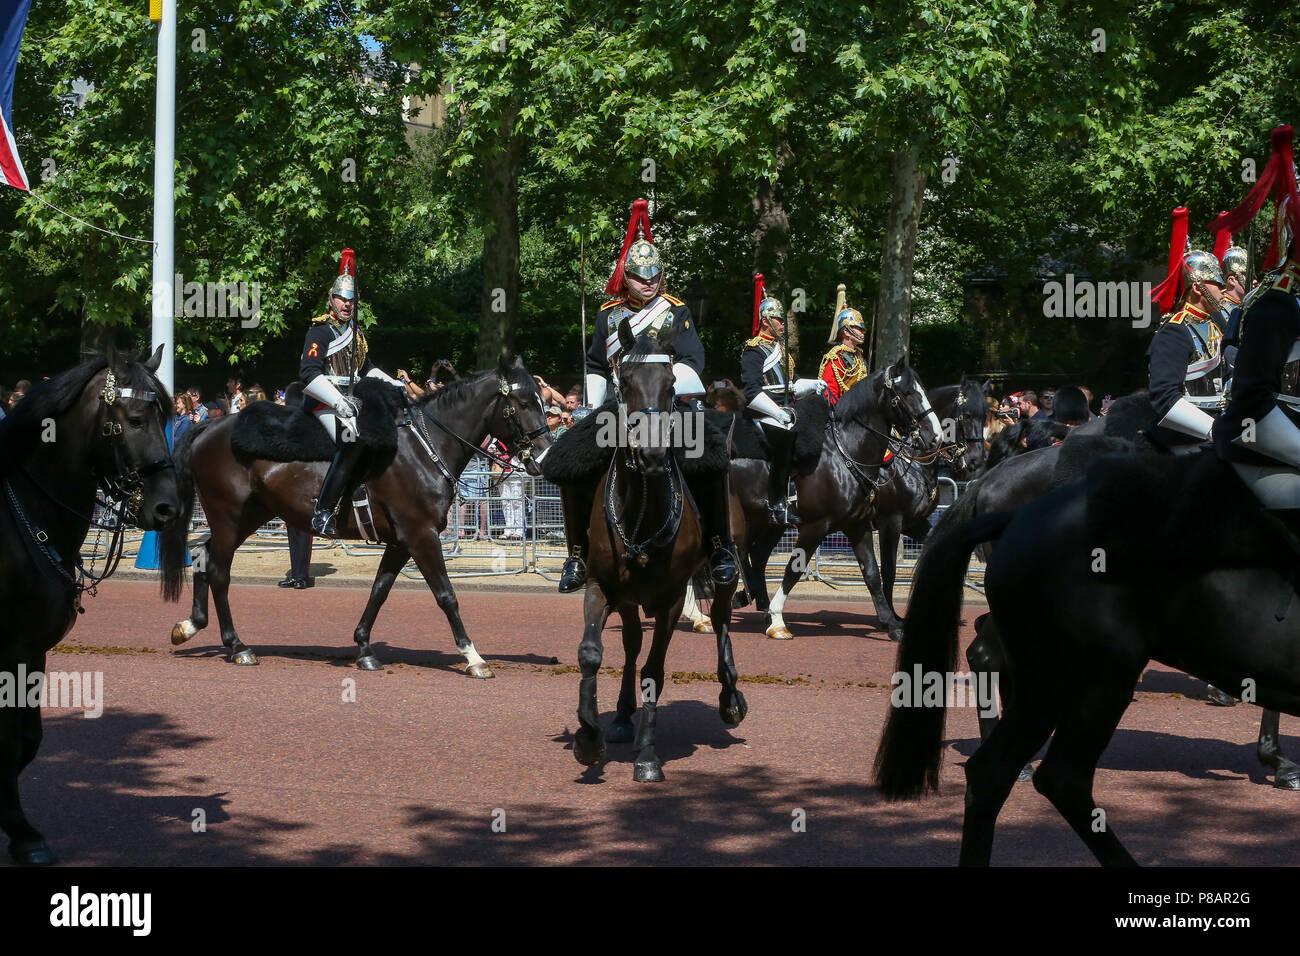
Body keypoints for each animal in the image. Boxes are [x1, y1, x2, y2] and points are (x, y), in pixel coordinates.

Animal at [0, 348, 180, 863]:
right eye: (136, 419)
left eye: (169, 418)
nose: (169, 507)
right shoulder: (10, 652)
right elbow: (7, 743)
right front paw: (22, 832)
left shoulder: (32, 653)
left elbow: (28, 740)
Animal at [161, 356, 548, 671]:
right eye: (524, 402)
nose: (544, 457)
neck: (425, 447)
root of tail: (211, 427)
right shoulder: (421, 536)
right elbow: (446, 595)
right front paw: (472, 656)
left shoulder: (401, 542)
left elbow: (380, 591)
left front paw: (364, 647)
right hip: (228, 517)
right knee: (217, 570)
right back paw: (237, 645)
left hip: (248, 516)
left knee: (204, 556)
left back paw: (193, 626)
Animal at [566, 317, 743, 780]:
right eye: (624, 382)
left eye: (671, 384)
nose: (650, 453)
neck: (641, 508)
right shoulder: (600, 586)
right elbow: (591, 653)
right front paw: (588, 737)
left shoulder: (669, 600)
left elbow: (655, 670)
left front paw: (647, 754)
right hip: (628, 599)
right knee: (629, 642)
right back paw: (621, 716)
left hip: (723, 569)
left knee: (721, 618)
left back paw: (730, 698)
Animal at [733, 358, 946, 642]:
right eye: (908, 392)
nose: (936, 437)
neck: (846, 454)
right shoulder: (826, 525)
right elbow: (794, 569)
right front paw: (777, 620)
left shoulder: (860, 525)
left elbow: (872, 573)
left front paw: (891, 622)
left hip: (766, 521)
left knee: (754, 556)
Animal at [873, 447, 1300, 868]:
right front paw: (1276, 759)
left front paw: (1275, 758)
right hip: (1099, 679)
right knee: (1060, 775)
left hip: (1050, 680)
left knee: (991, 758)